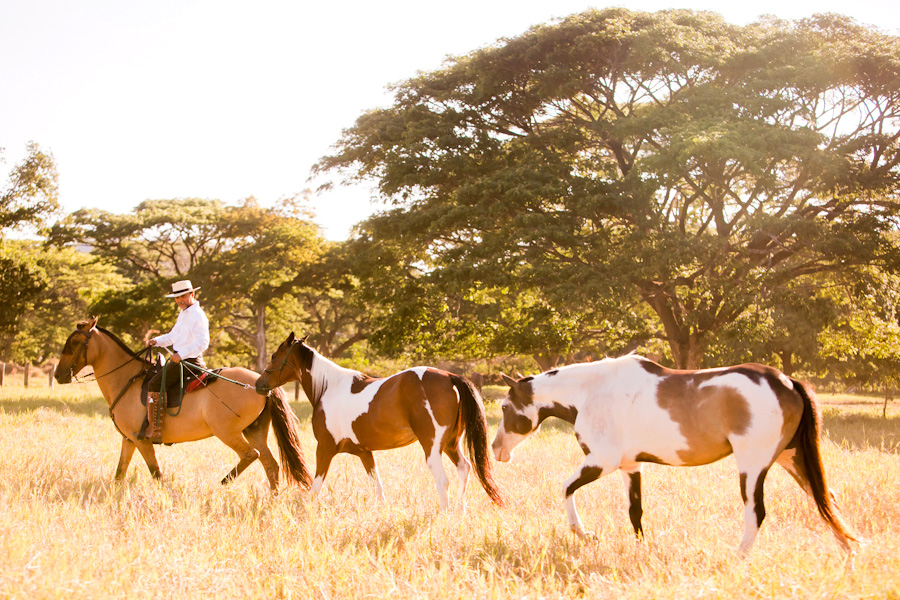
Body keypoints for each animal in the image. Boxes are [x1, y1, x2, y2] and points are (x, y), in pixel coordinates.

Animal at [54, 316, 312, 490]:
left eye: (75, 342)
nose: (58, 374)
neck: (127, 379)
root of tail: (260, 383)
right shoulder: (129, 440)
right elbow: (119, 474)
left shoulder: (141, 440)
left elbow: (156, 473)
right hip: (255, 430)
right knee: (271, 465)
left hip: (228, 432)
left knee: (252, 455)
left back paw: (222, 483)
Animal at [256, 332, 502, 510]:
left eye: (274, 356)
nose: (259, 383)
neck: (328, 388)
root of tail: (450, 377)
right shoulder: (365, 453)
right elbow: (378, 487)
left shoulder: (324, 449)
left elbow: (315, 488)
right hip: (451, 444)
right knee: (464, 469)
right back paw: (460, 512)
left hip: (432, 447)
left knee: (443, 481)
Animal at [492, 354, 856, 556]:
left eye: (505, 407)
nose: (497, 450)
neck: (591, 392)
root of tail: (786, 382)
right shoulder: (630, 466)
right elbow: (635, 512)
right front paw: (640, 550)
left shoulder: (601, 462)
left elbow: (566, 489)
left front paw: (585, 535)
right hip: (792, 460)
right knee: (826, 501)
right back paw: (850, 554)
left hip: (753, 467)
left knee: (757, 512)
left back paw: (736, 558)